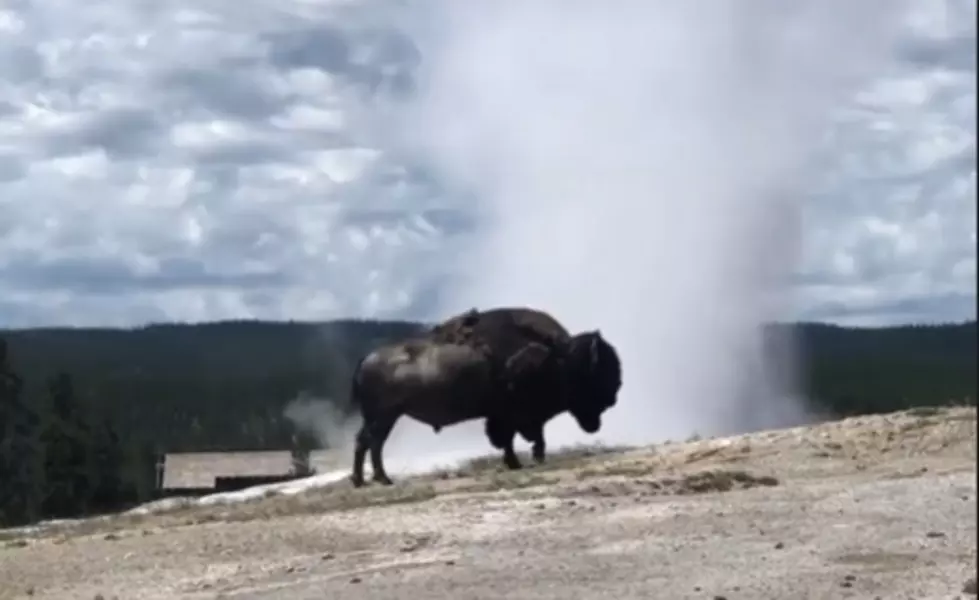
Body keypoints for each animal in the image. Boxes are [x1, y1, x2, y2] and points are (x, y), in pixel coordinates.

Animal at [348, 308, 620, 486]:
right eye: (597, 370)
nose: (613, 397)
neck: (555, 357)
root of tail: (366, 360)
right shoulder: (513, 415)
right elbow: (514, 438)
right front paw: (517, 462)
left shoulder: (511, 416)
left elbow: (522, 438)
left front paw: (521, 461)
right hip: (384, 416)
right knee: (373, 442)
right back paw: (381, 479)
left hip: (381, 417)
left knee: (366, 442)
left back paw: (364, 480)